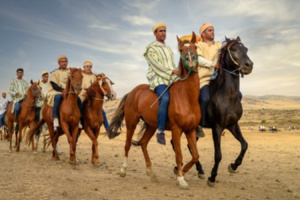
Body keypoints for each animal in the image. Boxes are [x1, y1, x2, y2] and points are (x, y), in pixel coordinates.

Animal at [107, 32, 199, 189]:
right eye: (181, 50)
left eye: (195, 47)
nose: (191, 60)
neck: (187, 97)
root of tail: (132, 92)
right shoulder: (176, 130)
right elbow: (179, 154)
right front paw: (181, 178)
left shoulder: (190, 130)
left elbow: (195, 156)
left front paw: (181, 172)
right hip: (131, 123)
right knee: (127, 144)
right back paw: (123, 170)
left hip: (151, 125)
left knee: (143, 143)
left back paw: (151, 173)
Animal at [190, 36, 253, 187]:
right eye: (234, 49)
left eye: (246, 49)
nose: (249, 65)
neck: (227, 97)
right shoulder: (217, 128)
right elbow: (218, 155)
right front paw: (212, 177)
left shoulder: (233, 125)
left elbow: (244, 145)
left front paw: (233, 166)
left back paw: (197, 170)